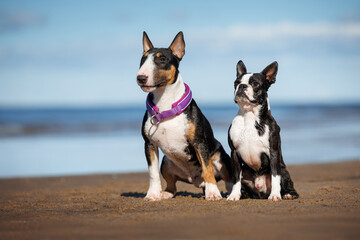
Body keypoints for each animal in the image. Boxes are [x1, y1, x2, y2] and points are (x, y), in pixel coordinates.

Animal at [136, 31, 240, 201]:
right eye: (142, 60)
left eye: (162, 59)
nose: (141, 78)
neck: (166, 105)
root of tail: (195, 181)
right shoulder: (149, 144)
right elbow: (152, 173)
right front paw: (152, 195)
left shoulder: (199, 143)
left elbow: (207, 169)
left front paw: (213, 193)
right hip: (166, 163)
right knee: (172, 186)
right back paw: (165, 193)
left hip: (221, 157)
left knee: (227, 179)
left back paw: (226, 192)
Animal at [229, 59, 300, 201]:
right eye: (236, 83)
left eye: (255, 84)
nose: (242, 86)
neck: (249, 116)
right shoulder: (234, 153)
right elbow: (236, 178)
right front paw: (234, 195)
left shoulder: (273, 152)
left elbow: (275, 176)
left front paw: (275, 195)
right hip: (245, 172)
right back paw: (243, 195)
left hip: (284, 171)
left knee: (286, 183)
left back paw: (288, 194)